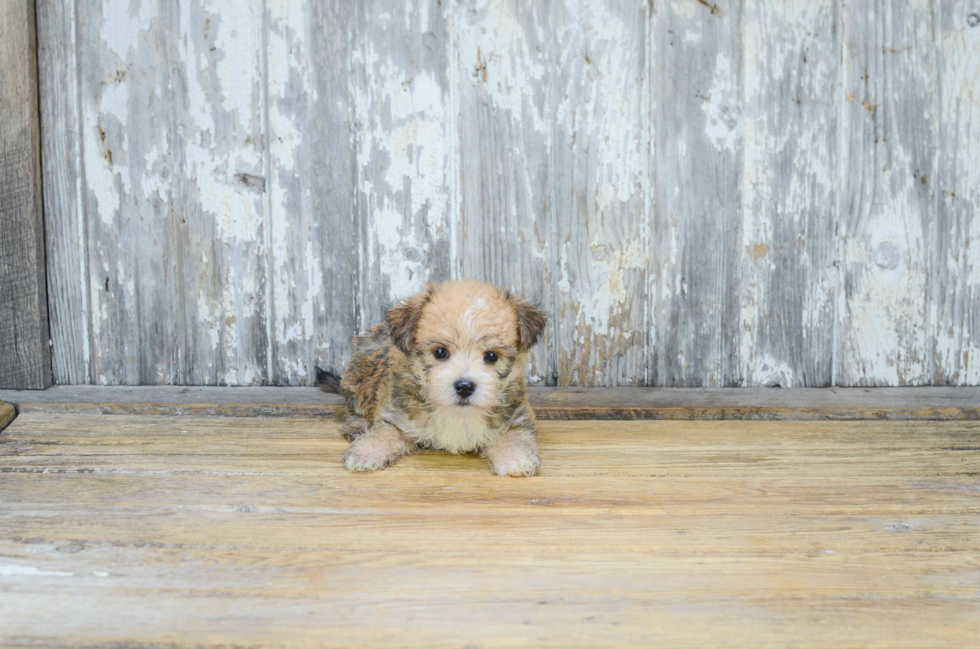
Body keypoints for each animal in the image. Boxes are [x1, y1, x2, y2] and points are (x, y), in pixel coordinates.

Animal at [322, 278, 552, 476]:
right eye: (440, 352)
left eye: (491, 356)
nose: (464, 386)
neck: (457, 414)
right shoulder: (398, 415)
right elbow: (385, 431)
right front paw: (367, 450)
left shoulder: (517, 418)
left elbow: (515, 436)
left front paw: (514, 457)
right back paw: (358, 425)